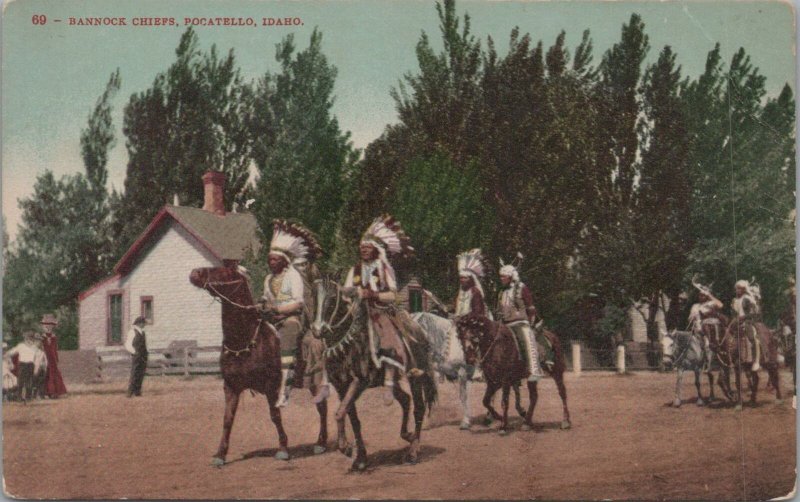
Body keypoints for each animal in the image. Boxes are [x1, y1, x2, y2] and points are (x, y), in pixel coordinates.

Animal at [188, 266, 328, 466]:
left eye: (224, 271)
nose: (195, 273)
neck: (244, 340)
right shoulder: (230, 387)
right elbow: (227, 419)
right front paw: (220, 454)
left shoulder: (270, 387)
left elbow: (275, 415)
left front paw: (283, 449)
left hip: (316, 382)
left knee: (322, 408)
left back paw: (320, 444)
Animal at [314, 278, 438, 470]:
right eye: (314, 298)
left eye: (333, 298)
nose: (318, 330)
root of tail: (420, 332)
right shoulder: (341, 385)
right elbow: (351, 417)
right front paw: (360, 458)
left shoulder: (359, 381)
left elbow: (340, 413)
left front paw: (346, 448)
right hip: (390, 380)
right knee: (405, 400)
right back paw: (408, 436)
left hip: (415, 378)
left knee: (418, 408)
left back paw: (413, 452)